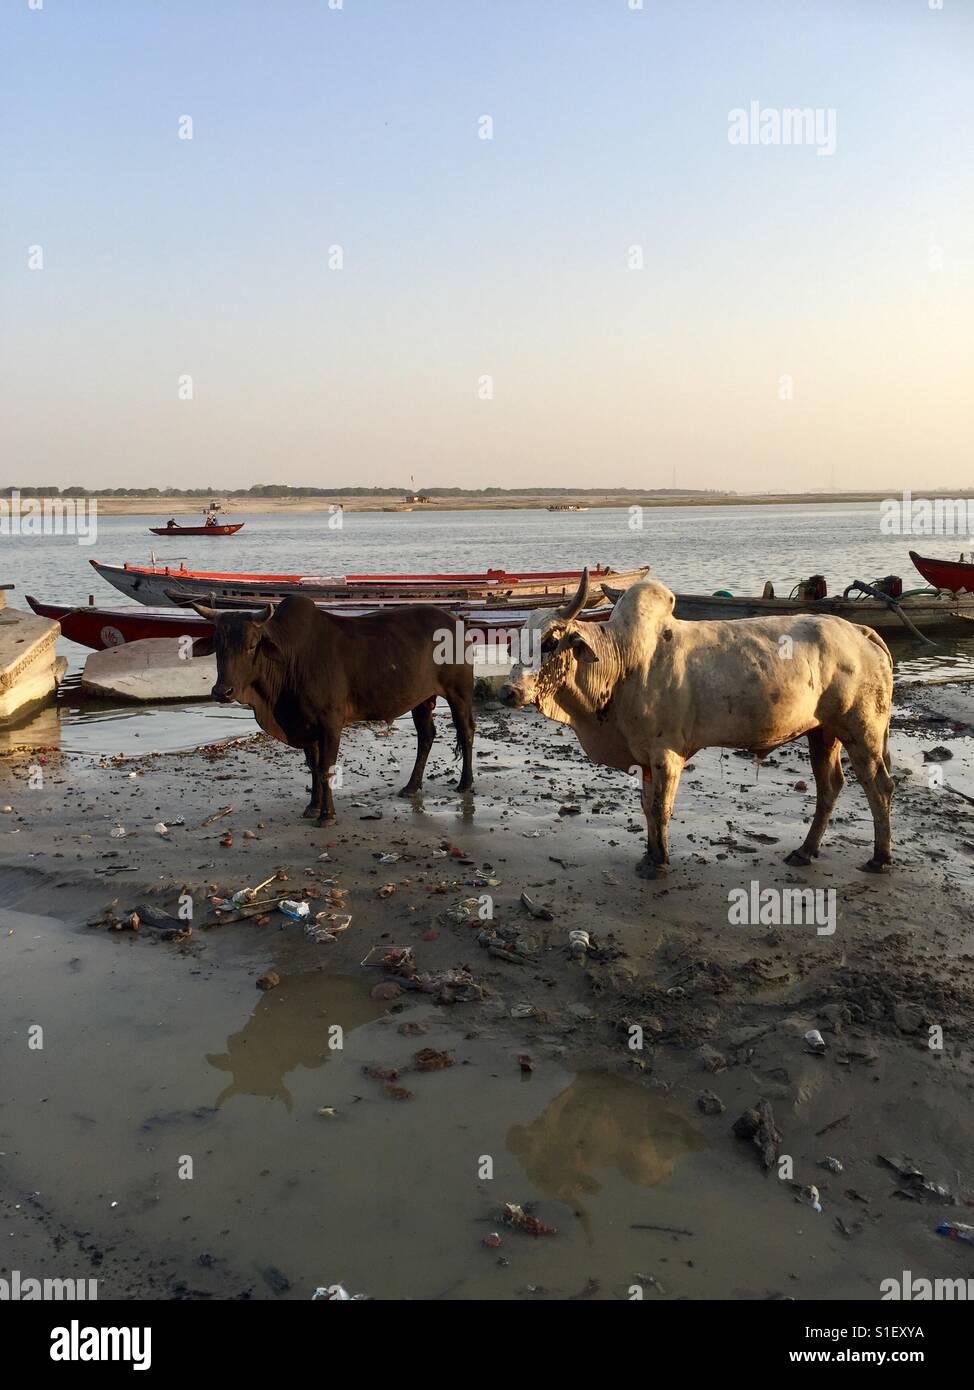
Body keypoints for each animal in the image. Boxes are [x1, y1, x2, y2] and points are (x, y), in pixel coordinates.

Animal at [192, 595, 475, 822]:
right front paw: (313, 807)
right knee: (426, 736)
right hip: (421, 701)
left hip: (459, 693)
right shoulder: (305, 725)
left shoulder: (330, 723)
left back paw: (465, 783)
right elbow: (313, 765)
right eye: (218, 645)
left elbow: (326, 767)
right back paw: (412, 786)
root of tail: (456, 621)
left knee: (466, 732)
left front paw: (327, 815)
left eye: (251, 645)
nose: (222, 691)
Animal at [499, 571, 894, 877]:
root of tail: (861, 631)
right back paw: (805, 851)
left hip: (862, 731)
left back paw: (879, 858)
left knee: (878, 786)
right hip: (823, 733)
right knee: (830, 788)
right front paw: (649, 853)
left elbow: (661, 807)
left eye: (550, 642)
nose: (508, 691)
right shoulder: (643, 758)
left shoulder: (666, 754)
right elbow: (647, 806)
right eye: (515, 644)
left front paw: (658, 862)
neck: (622, 661)